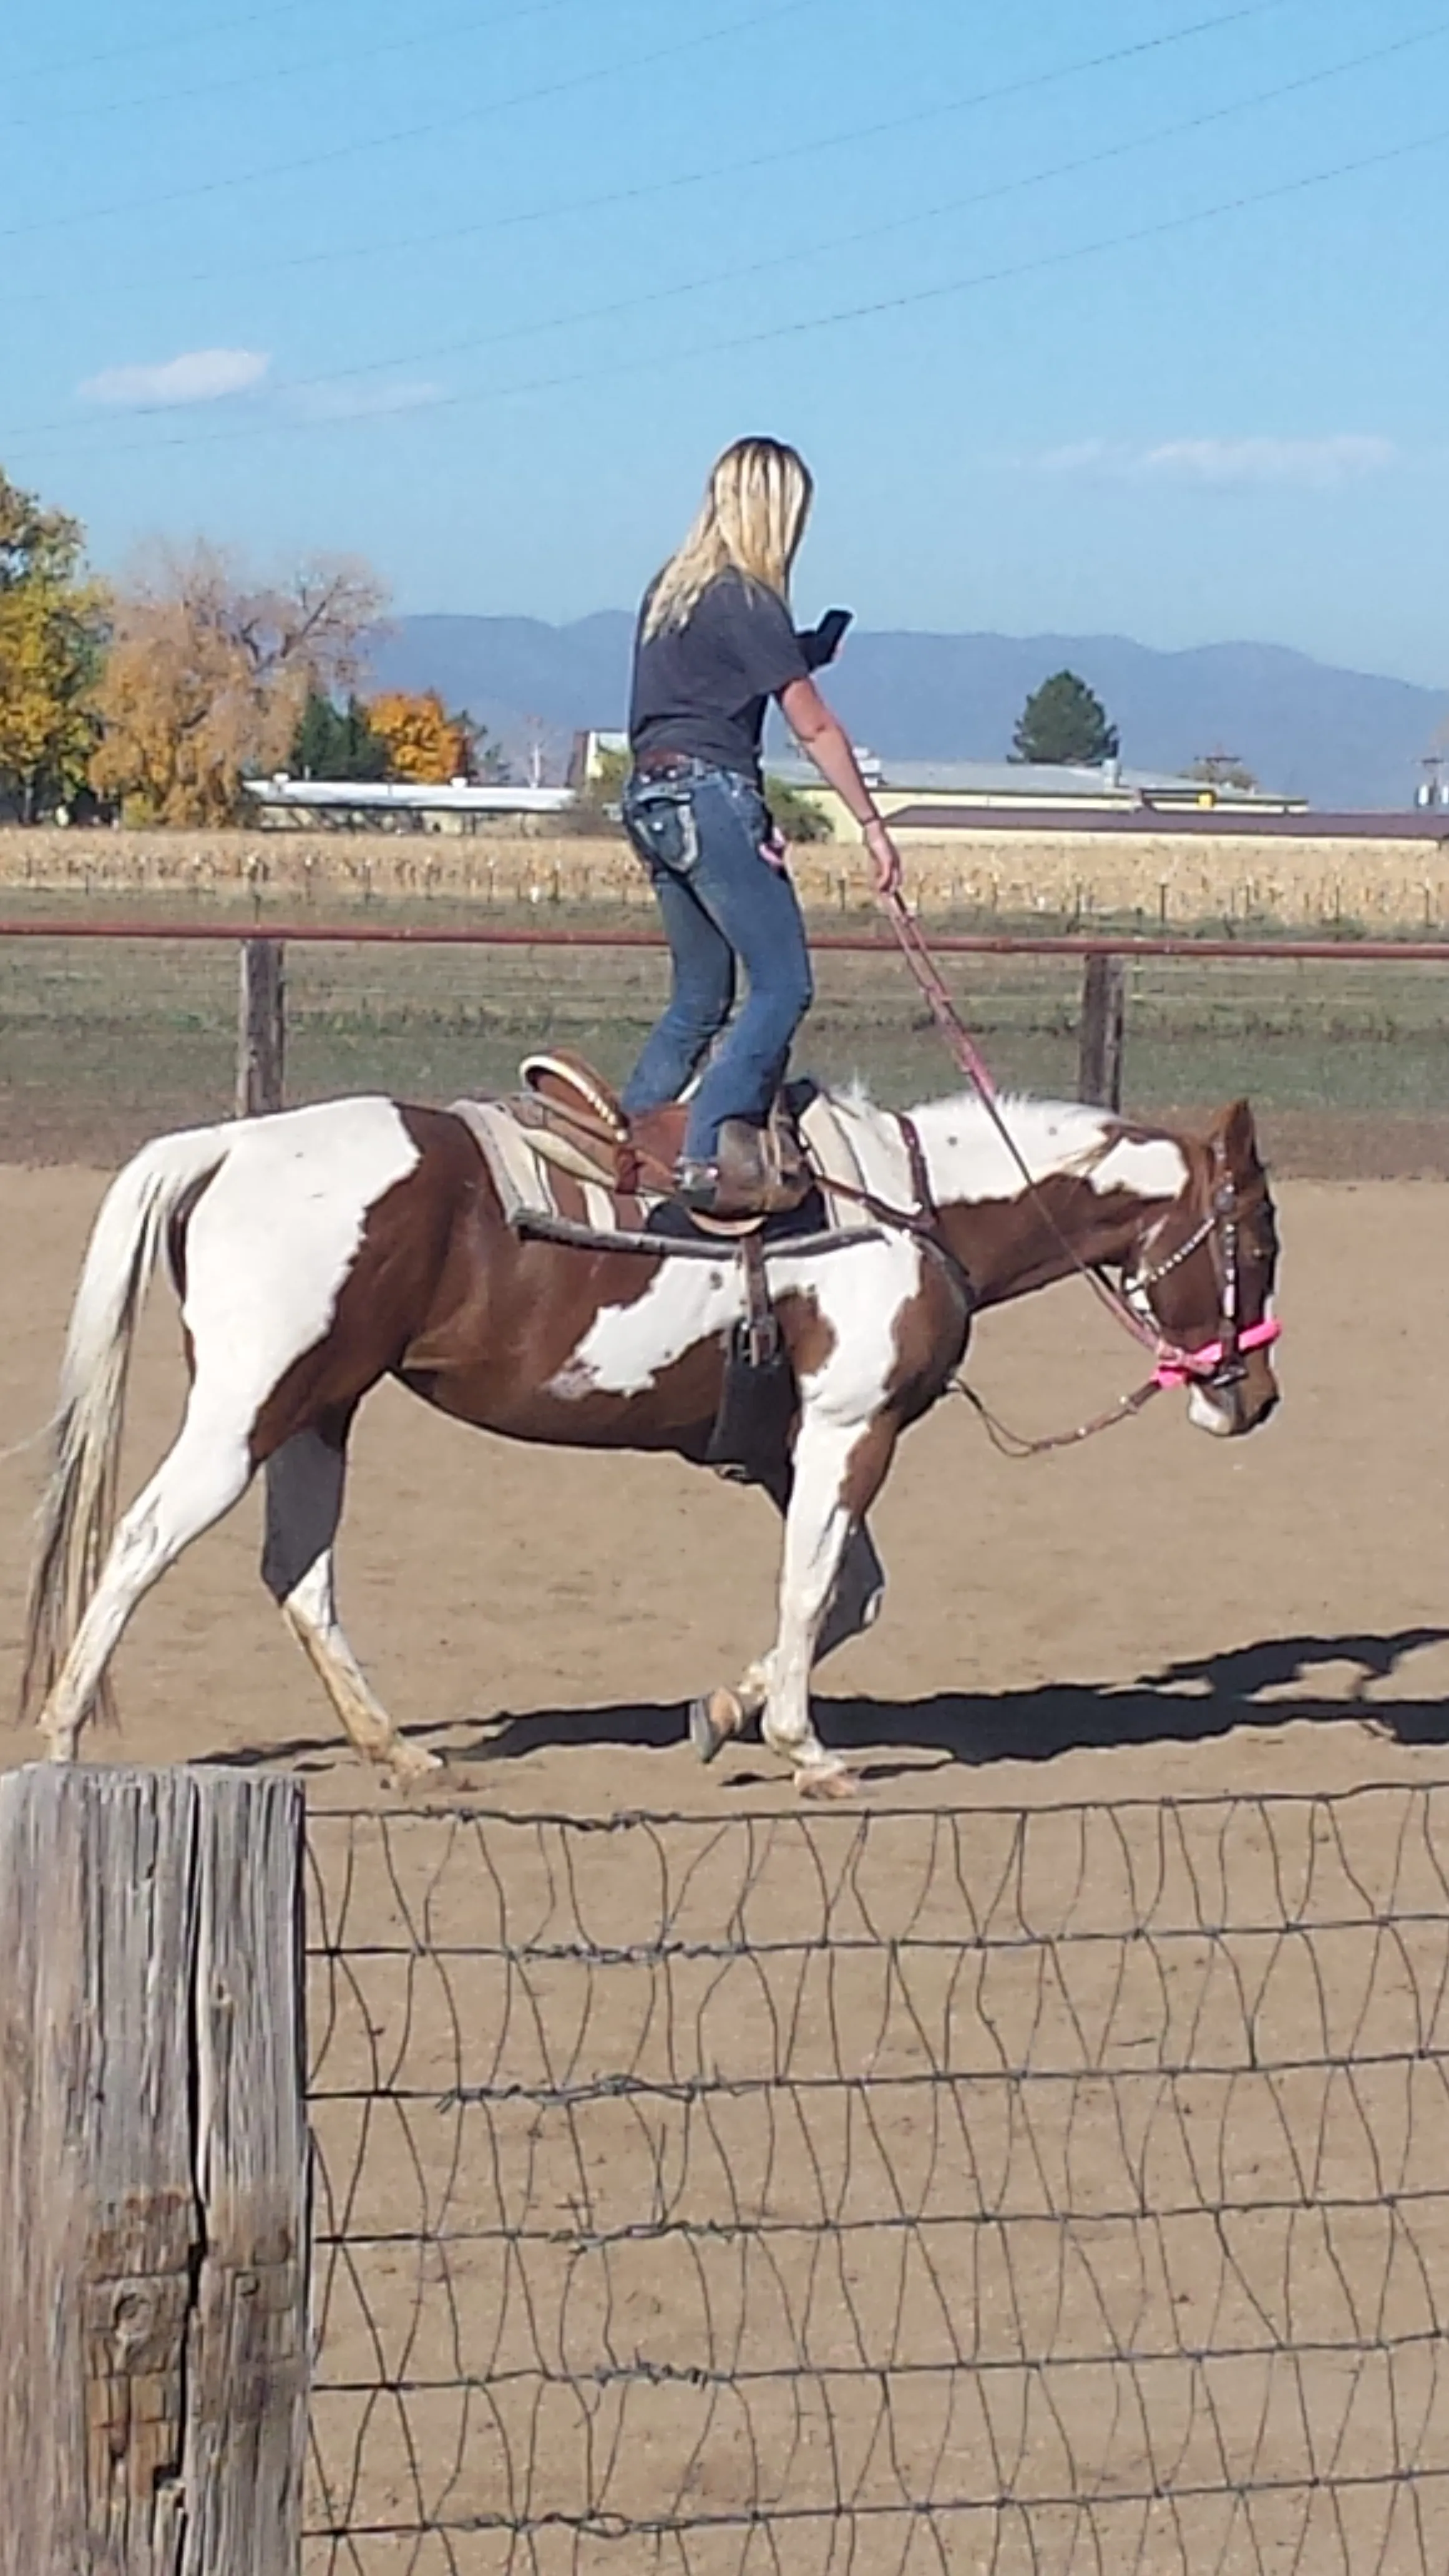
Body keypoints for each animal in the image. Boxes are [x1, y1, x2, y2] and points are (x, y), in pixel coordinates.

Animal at [19, 1078, 1281, 1795]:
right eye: (1259, 1237)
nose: (1253, 1397)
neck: (907, 1209)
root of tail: (229, 1144)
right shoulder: (849, 1428)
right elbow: (815, 1586)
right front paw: (805, 1748)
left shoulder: (785, 1448)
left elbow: (849, 1594)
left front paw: (724, 1713)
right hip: (251, 1405)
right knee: (142, 1540)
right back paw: (61, 1737)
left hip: (320, 1410)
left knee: (298, 1573)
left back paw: (401, 1753)